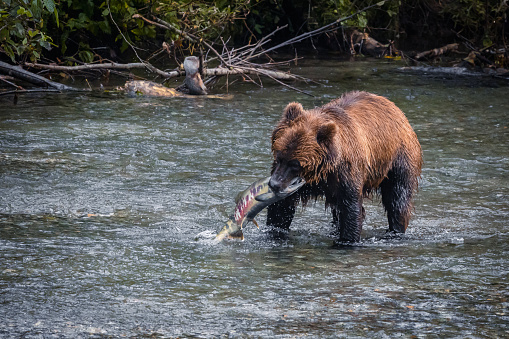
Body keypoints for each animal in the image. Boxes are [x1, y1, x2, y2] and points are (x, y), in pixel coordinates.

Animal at [266, 91, 420, 243]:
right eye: (279, 157)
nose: (274, 184)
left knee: (397, 198)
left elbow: (350, 209)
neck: (321, 171)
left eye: (295, 164)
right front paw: (275, 230)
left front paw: (347, 240)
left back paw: (396, 230)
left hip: (397, 159)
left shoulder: (345, 172)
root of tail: (395, 108)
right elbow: (281, 208)